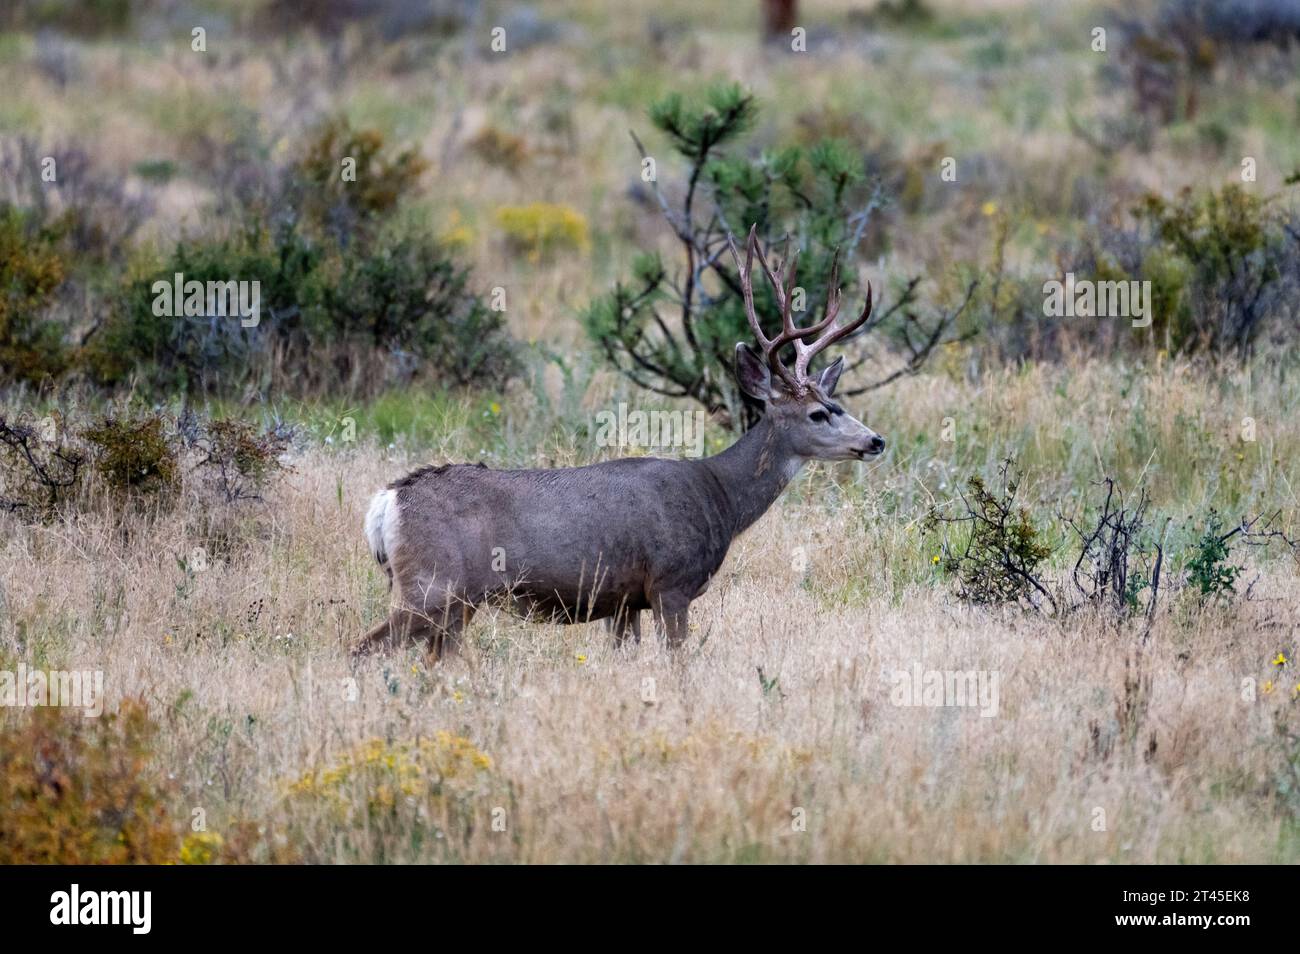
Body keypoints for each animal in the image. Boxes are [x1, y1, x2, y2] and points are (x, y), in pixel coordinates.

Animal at [353, 225, 886, 659]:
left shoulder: (623, 600)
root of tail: (387, 501)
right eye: (819, 413)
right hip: (433, 585)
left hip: (452, 602)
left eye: (836, 401)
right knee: (365, 648)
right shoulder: (670, 584)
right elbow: (677, 662)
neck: (719, 496)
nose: (876, 441)